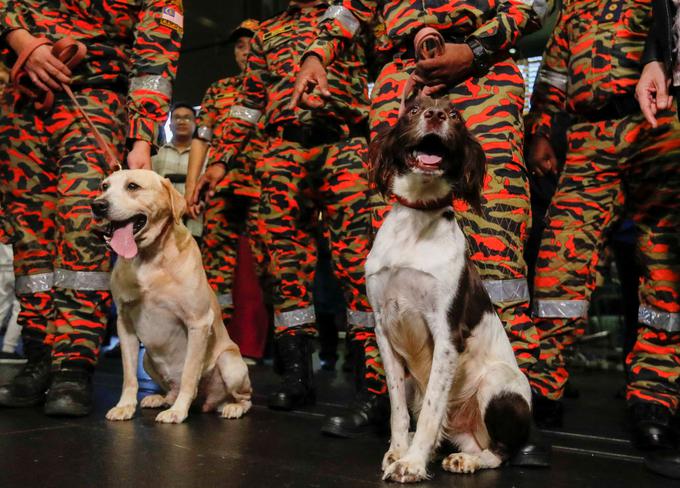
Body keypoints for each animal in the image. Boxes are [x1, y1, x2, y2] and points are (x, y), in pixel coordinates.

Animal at [94, 170, 254, 422]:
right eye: (104, 186)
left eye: (132, 186)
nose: (97, 205)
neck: (149, 258)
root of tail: (206, 403)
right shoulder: (124, 324)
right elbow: (129, 375)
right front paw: (125, 406)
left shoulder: (198, 323)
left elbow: (190, 374)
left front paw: (178, 412)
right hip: (147, 359)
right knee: (172, 387)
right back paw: (161, 398)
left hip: (230, 364)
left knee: (243, 397)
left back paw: (232, 407)